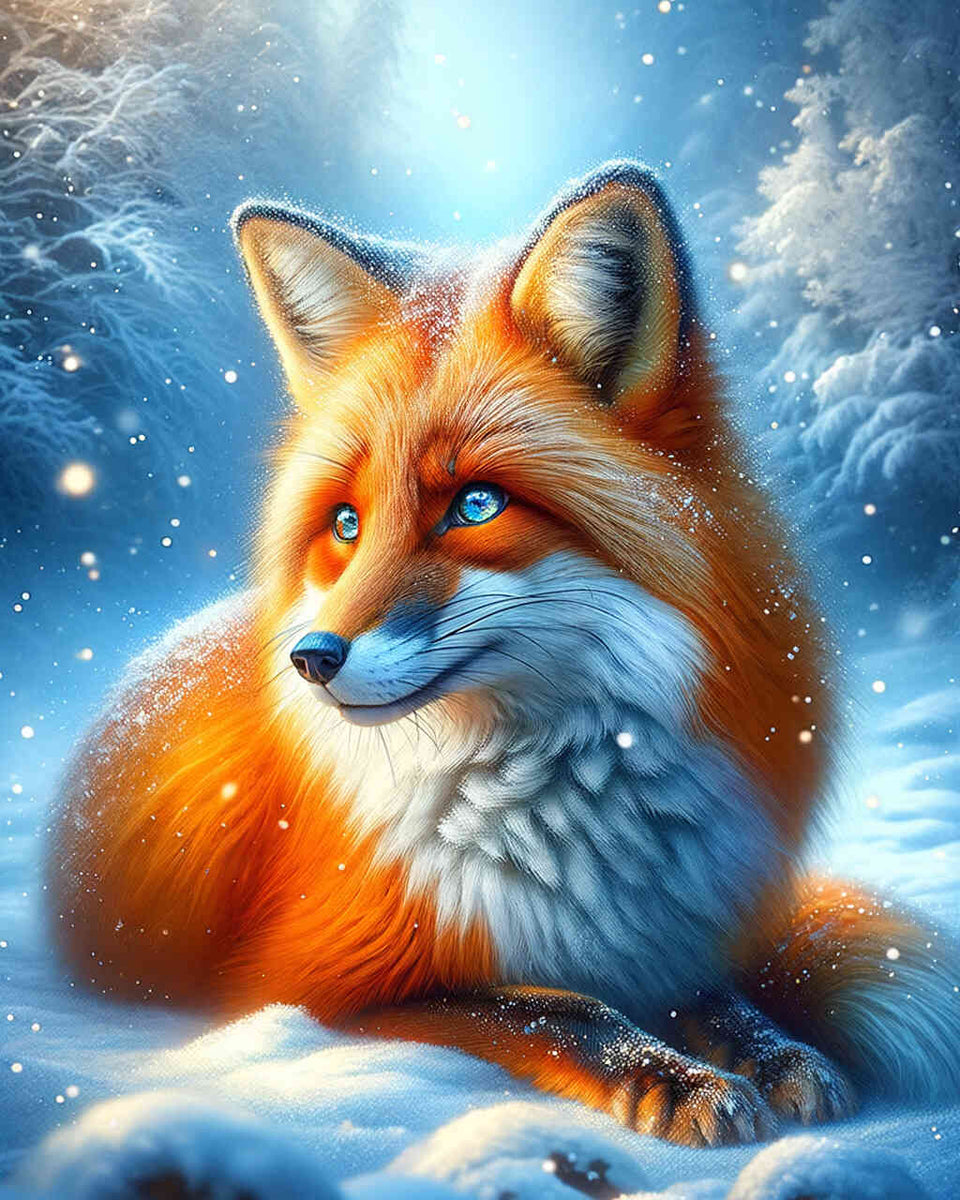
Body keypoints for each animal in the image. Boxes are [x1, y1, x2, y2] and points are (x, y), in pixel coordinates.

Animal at [48, 161, 959, 1148]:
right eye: (346, 523)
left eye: (476, 506)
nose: (311, 659)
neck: (566, 813)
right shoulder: (315, 988)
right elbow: (558, 1010)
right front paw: (677, 1079)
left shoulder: (674, 943)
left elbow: (717, 999)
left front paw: (778, 1052)